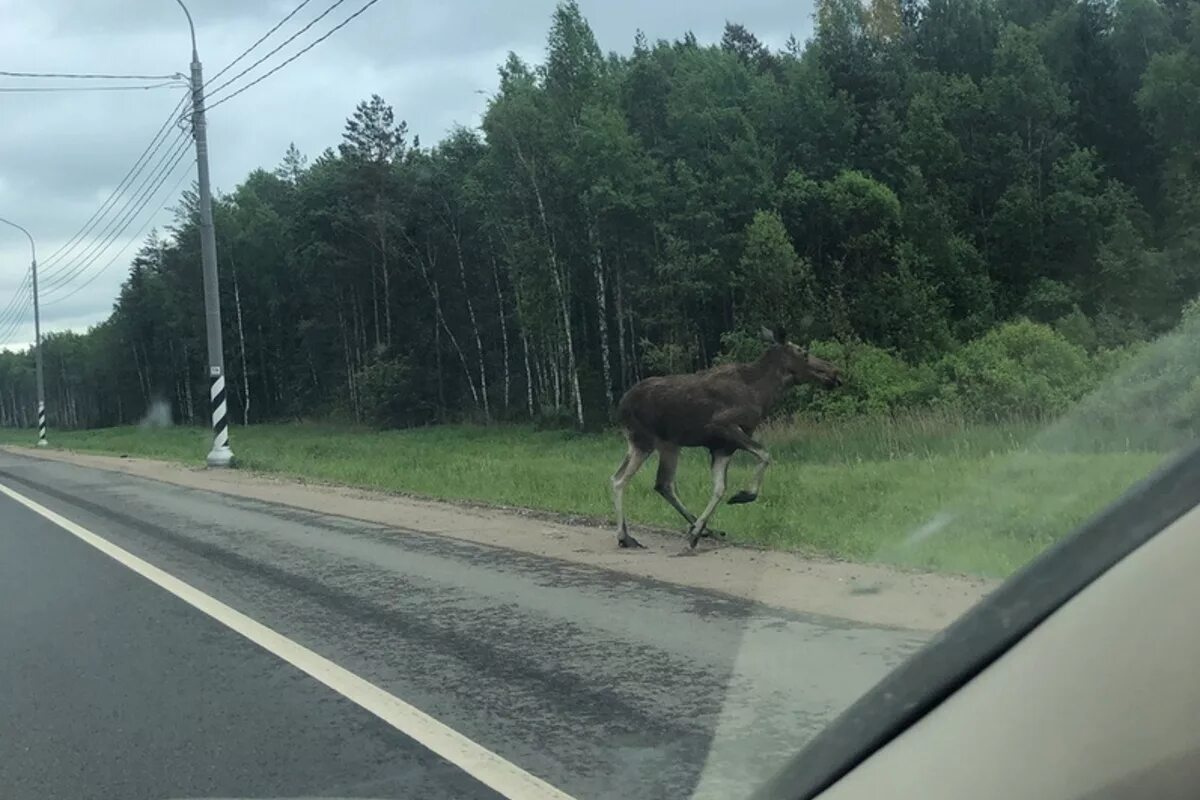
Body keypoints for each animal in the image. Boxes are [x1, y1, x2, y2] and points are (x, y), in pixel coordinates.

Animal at [614, 326, 840, 551]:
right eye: (803, 352)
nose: (834, 372)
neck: (762, 394)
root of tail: (621, 405)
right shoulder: (724, 427)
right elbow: (765, 455)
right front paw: (743, 495)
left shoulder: (723, 447)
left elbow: (720, 488)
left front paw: (697, 531)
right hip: (644, 440)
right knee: (621, 480)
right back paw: (625, 537)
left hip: (666, 444)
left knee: (661, 484)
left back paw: (701, 529)